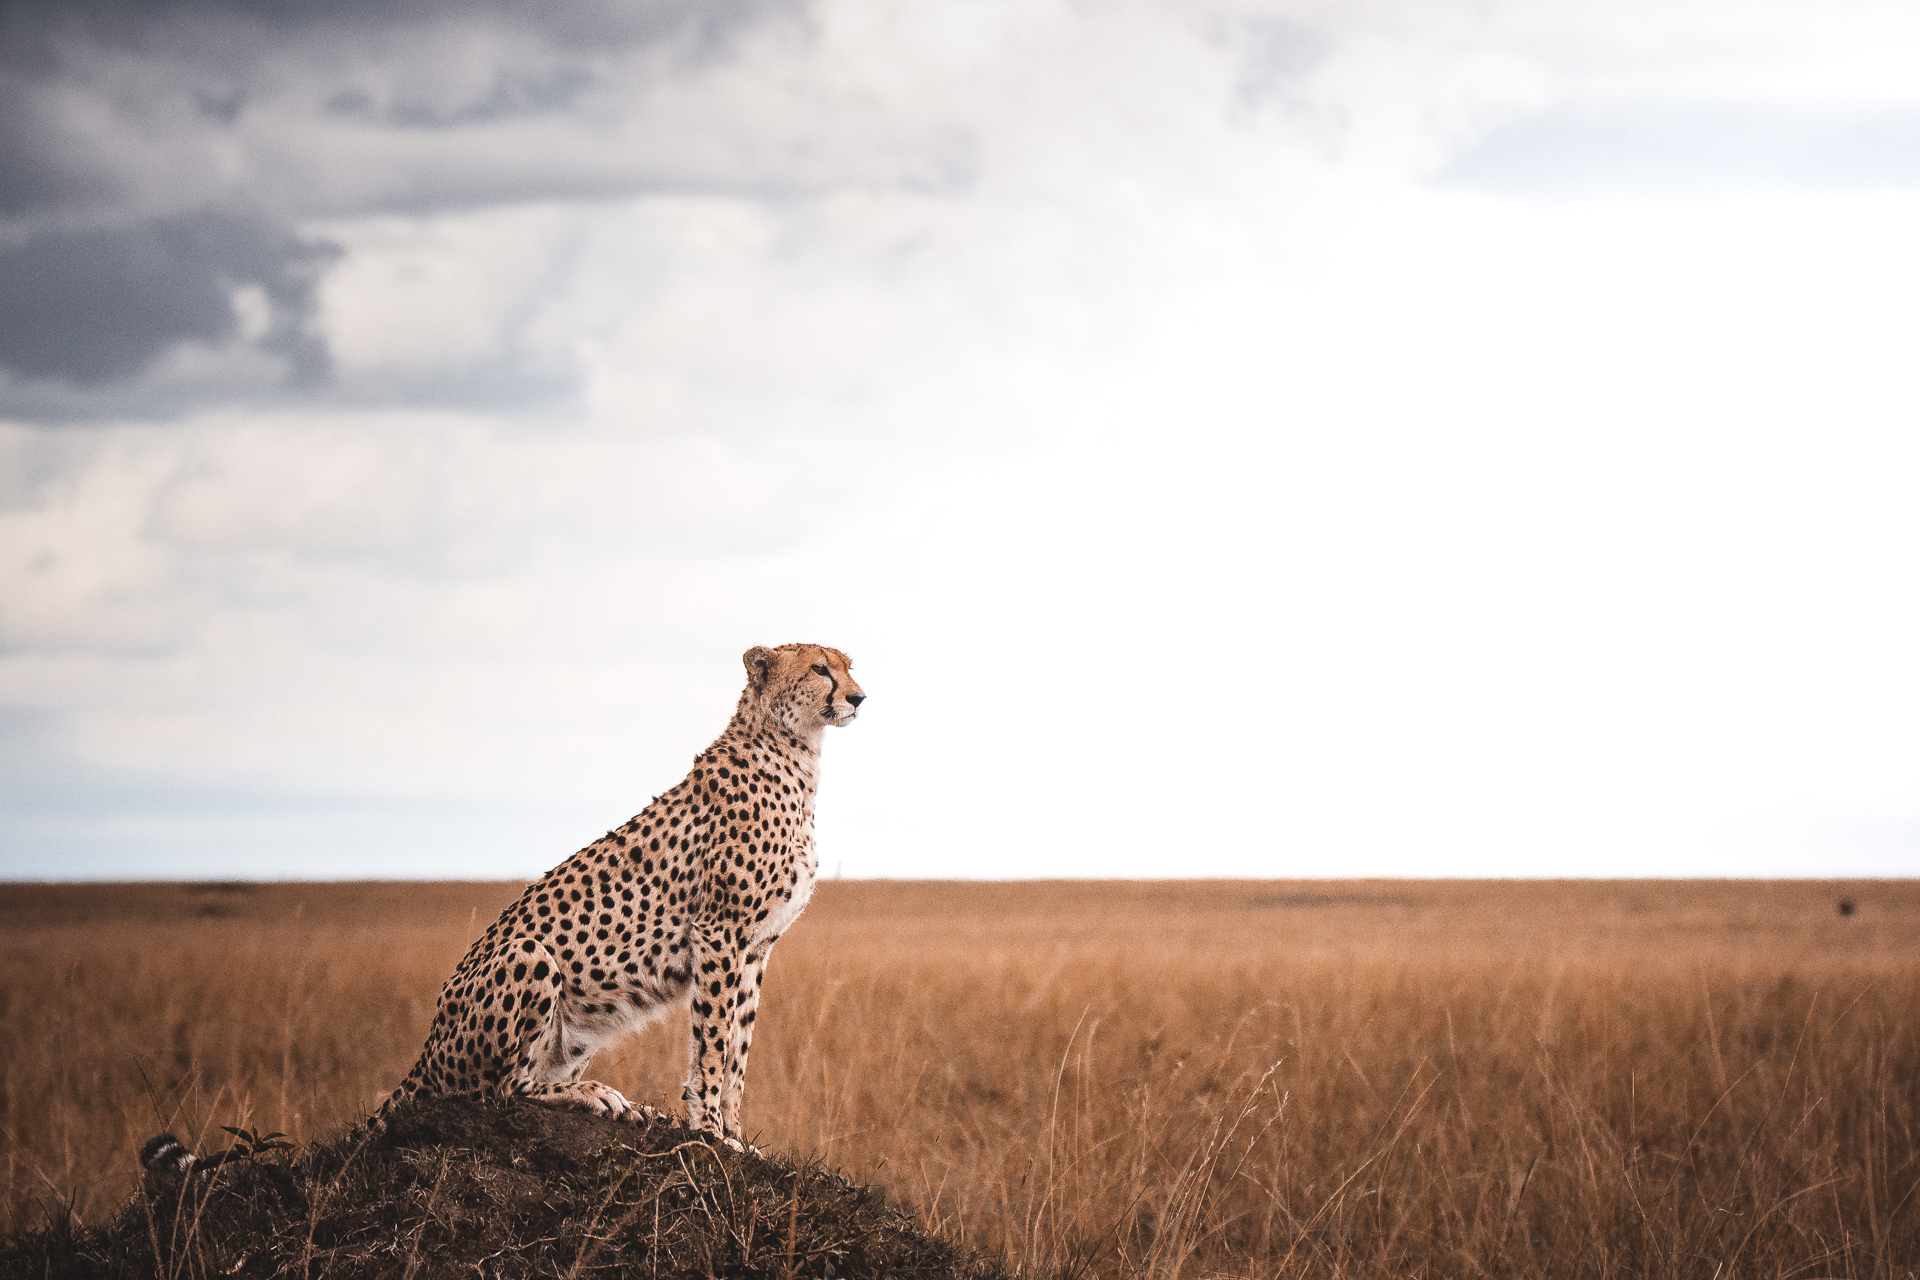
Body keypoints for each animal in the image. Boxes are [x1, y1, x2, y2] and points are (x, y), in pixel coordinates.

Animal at [373, 643, 864, 1150]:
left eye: (849, 667)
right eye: (820, 669)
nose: (859, 697)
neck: (794, 752)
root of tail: (426, 1050)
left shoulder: (756, 947)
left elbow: (738, 1049)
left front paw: (735, 1134)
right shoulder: (719, 932)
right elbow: (712, 1040)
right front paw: (708, 1129)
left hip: (575, 1034)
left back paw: (633, 1108)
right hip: (527, 956)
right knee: (502, 1088)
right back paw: (597, 1094)